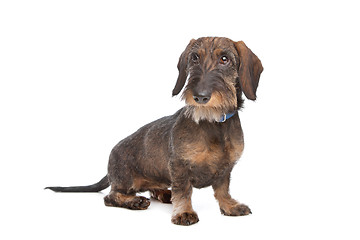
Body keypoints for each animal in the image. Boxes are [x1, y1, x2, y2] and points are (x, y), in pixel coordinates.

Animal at [45, 37, 264, 225]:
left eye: (224, 59)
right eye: (194, 58)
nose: (200, 96)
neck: (213, 123)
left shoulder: (226, 168)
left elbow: (222, 189)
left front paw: (230, 206)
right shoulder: (179, 165)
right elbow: (184, 190)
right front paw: (184, 212)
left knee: (151, 190)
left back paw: (164, 193)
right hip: (125, 178)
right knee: (111, 196)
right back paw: (135, 201)